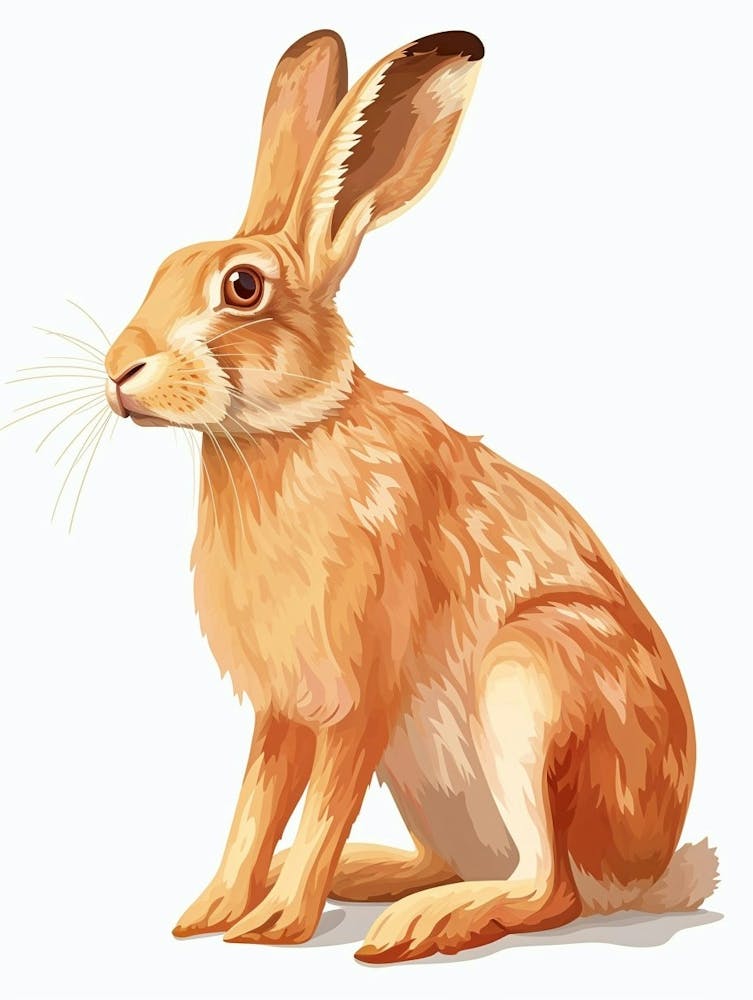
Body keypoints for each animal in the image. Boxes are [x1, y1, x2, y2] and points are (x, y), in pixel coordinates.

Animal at [101, 29, 717, 962]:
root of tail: (655, 872)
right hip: (433, 780)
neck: (290, 433)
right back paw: (373, 874)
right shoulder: (282, 712)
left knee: (549, 890)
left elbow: (317, 804)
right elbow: (254, 808)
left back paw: (418, 923)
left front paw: (274, 927)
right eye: (163, 267)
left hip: (531, 682)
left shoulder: (361, 695)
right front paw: (210, 912)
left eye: (242, 287)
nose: (118, 371)